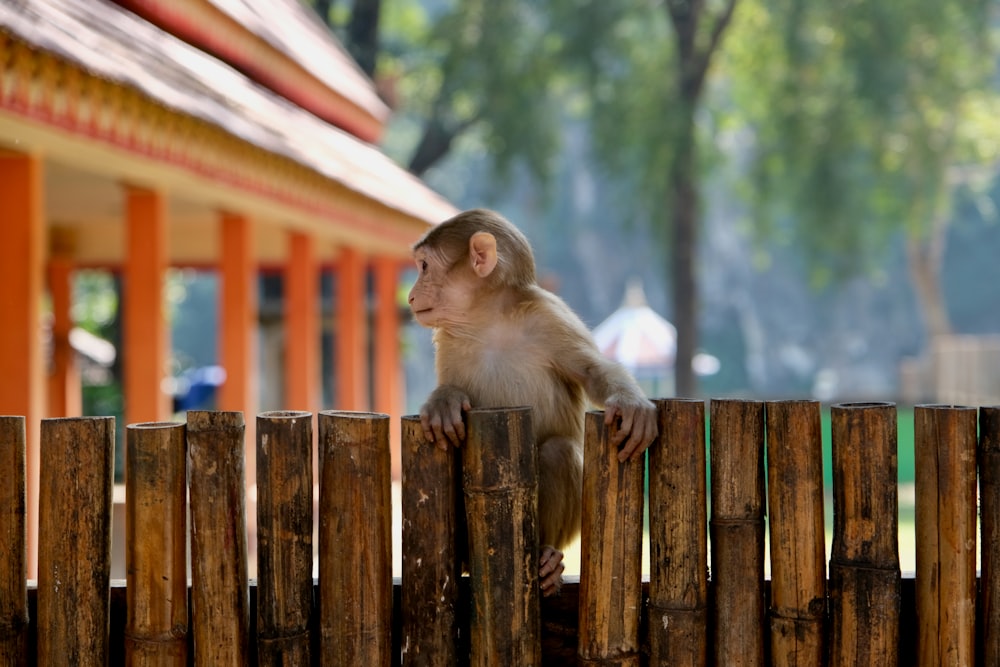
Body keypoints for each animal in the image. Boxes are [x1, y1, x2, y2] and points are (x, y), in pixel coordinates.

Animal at [406, 207, 656, 596]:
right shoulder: (448, 340)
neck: (488, 321)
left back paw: (547, 560)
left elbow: (594, 370)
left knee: (559, 452)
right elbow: (451, 391)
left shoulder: (550, 318)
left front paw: (631, 403)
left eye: (425, 267)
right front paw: (444, 402)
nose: (411, 296)